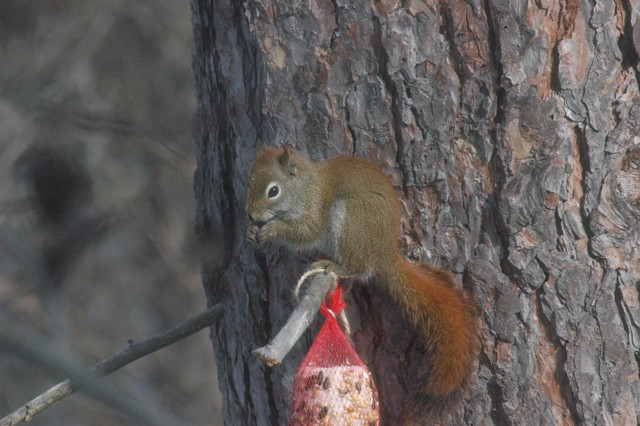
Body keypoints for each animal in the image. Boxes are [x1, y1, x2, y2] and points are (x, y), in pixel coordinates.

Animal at [245, 145, 478, 416]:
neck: (305, 187)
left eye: (273, 191)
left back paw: (331, 265)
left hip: (351, 221)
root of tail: (383, 253)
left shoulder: (315, 211)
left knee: (355, 267)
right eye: (250, 180)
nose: (250, 213)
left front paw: (272, 229)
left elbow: (305, 232)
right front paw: (252, 231)